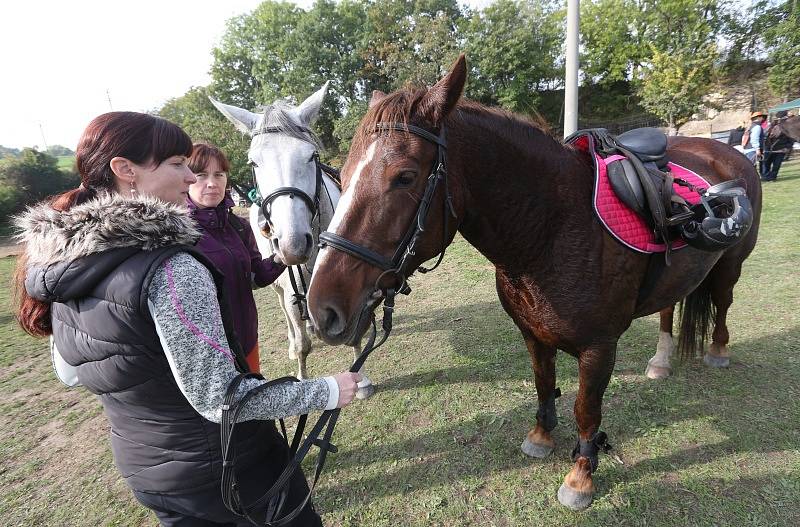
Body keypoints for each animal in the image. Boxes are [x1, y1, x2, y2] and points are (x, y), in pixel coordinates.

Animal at [211, 85, 376, 400]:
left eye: (311, 156)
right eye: (253, 162)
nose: (293, 244)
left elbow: (353, 333)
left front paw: (360, 381)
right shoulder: (290, 291)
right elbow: (303, 346)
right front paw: (300, 379)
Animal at [306, 56, 764, 512]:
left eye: (404, 177)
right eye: (341, 177)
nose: (322, 309)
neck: (552, 229)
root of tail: (723, 150)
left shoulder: (600, 348)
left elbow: (586, 410)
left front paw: (581, 475)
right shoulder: (532, 332)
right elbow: (544, 384)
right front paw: (542, 436)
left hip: (731, 266)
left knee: (723, 302)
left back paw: (718, 351)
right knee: (670, 307)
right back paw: (661, 361)